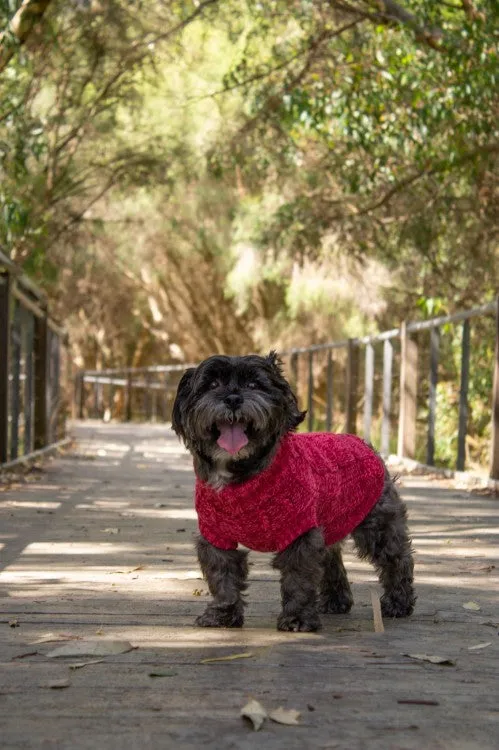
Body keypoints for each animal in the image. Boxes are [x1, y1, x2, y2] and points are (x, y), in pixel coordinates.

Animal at [174, 354, 416, 636]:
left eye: (255, 384)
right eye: (212, 384)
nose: (233, 398)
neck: (243, 473)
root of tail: (363, 443)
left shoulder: (300, 532)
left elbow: (298, 578)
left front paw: (298, 618)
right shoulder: (216, 536)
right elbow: (222, 576)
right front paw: (223, 614)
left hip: (376, 524)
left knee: (396, 559)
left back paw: (398, 602)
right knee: (331, 559)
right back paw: (336, 600)